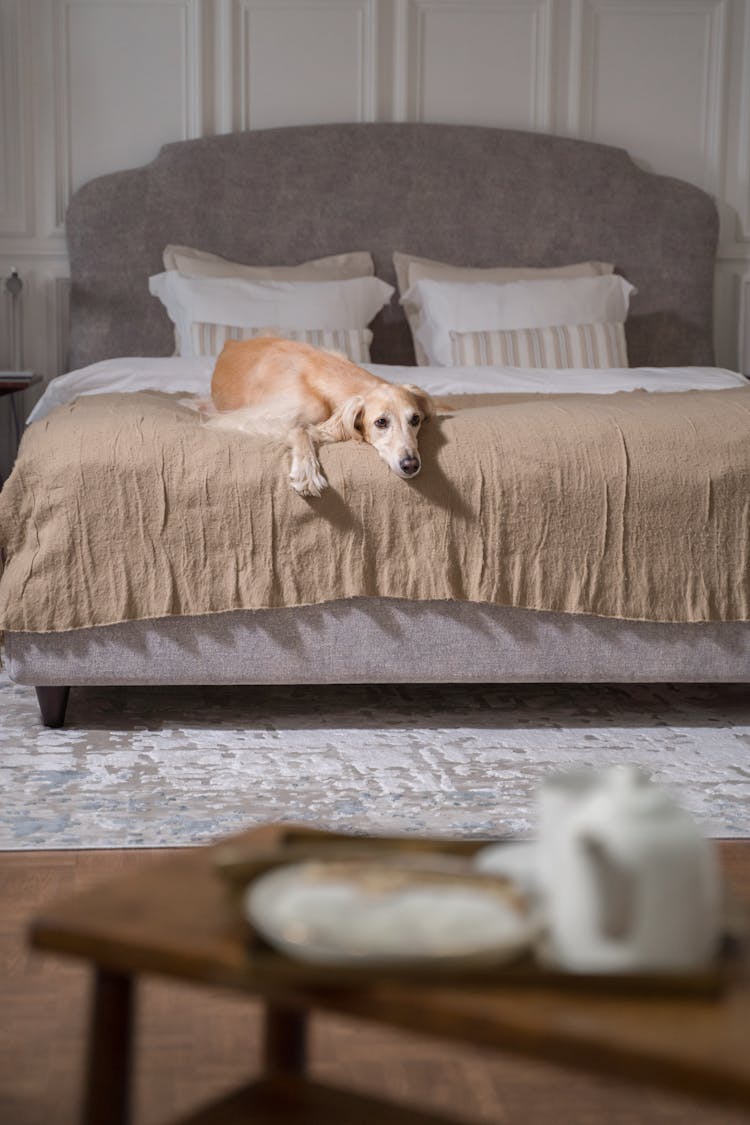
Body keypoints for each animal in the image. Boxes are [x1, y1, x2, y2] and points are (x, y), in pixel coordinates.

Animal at [201, 335, 434, 499]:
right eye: (381, 422)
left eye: (415, 419)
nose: (411, 465)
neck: (319, 371)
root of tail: (231, 343)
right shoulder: (239, 418)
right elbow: (299, 428)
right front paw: (306, 473)